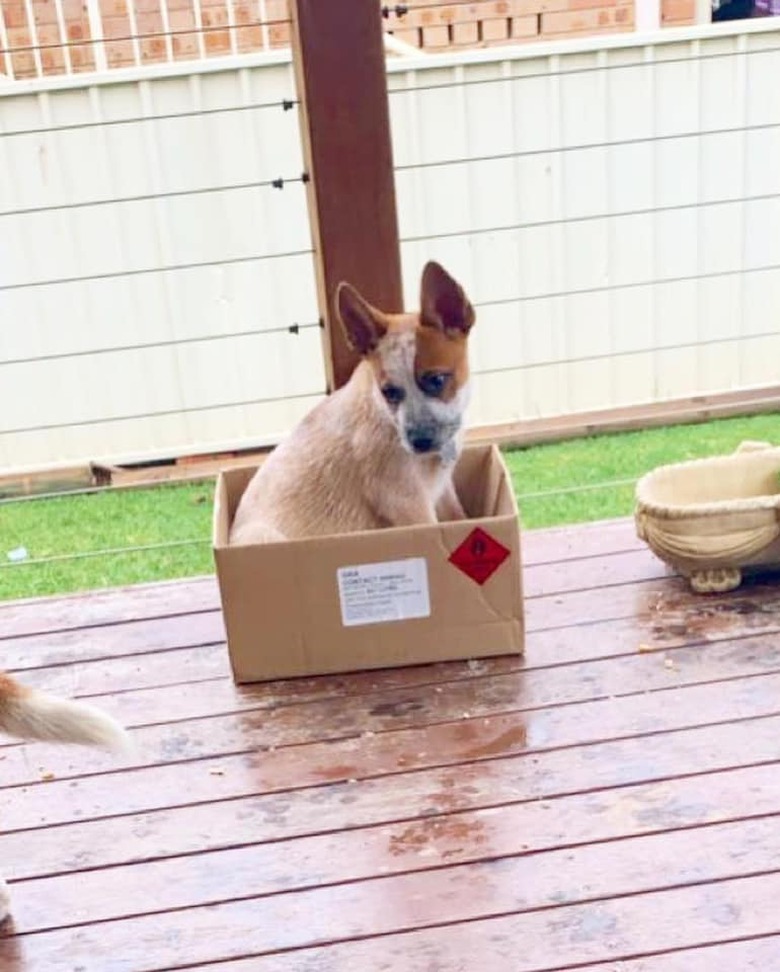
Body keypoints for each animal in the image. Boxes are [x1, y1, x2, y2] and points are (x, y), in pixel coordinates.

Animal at [230, 260, 476, 548]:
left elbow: (460, 516)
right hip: (263, 536)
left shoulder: (443, 488)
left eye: (437, 380)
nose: (420, 442)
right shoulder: (407, 502)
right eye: (389, 392)